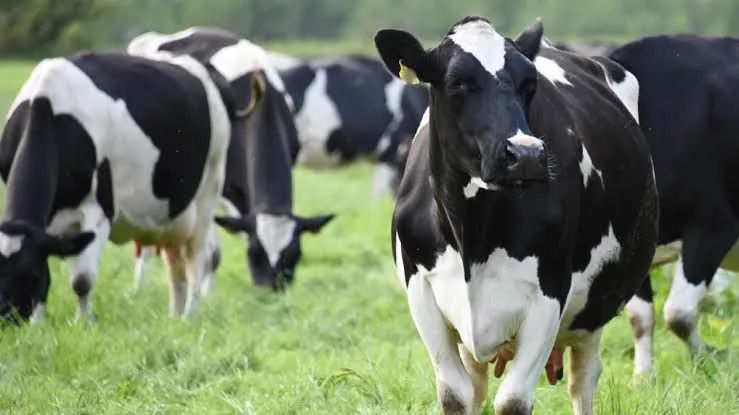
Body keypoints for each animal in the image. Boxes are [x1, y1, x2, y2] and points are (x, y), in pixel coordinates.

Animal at [0, 50, 253, 321]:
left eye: (29, 274)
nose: (6, 316)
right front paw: (39, 324)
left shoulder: (99, 209)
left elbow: (81, 280)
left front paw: (82, 323)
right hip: (172, 215)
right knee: (176, 266)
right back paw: (174, 319)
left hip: (207, 195)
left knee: (197, 260)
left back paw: (189, 317)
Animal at [128, 27, 334, 291]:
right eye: (254, 253)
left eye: (294, 255)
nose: (270, 292)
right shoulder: (218, 190)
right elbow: (212, 255)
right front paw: (206, 295)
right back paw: (139, 288)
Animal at [377, 17, 657, 415]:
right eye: (457, 82)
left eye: (530, 84)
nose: (525, 154)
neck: (472, 236)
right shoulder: (421, 290)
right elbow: (456, 395)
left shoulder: (548, 294)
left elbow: (512, 401)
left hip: (594, 309)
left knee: (584, 378)